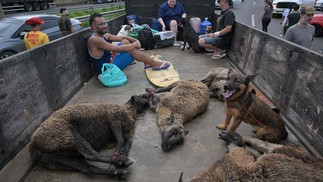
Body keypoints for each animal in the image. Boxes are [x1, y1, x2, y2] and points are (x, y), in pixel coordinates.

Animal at [181, 132, 323, 181]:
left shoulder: (235, 165)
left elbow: (237, 151)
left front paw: (235, 141)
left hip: (283, 152)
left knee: (268, 146)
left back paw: (238, 137)